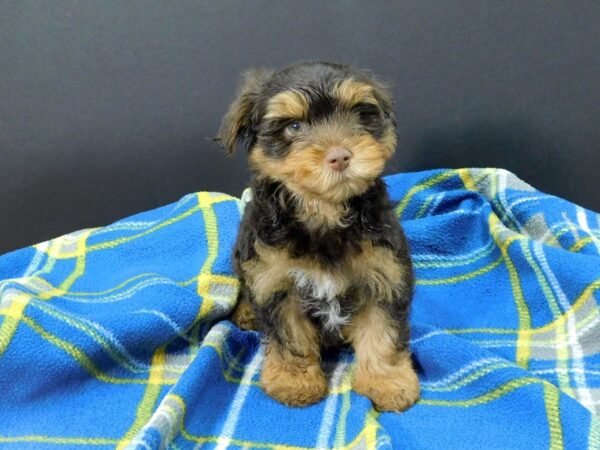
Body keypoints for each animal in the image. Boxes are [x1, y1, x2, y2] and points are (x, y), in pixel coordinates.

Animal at [216, 60, 418, 412]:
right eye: (294, 127)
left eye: (359, 114)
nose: (339, 156)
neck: (324, 212)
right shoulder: (276, 279)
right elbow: (291, 332)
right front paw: (294, 381)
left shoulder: (384, 271)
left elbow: (382, 328)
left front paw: (388, 381)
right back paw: (246, 312)